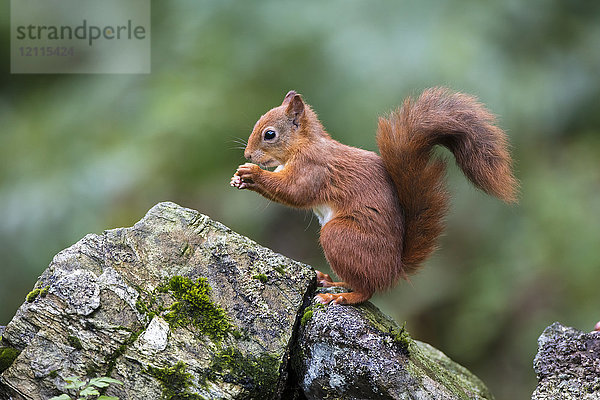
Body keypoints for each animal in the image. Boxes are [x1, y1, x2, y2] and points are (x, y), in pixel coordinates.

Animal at [230, 87, 516, 304]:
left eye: (270, 134)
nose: (247, 155)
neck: (304, 144)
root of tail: (393, 270)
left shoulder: (313, 169)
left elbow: (294, 192)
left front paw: (252, 173)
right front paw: (238, 178)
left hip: (339, 236)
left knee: (367, 290)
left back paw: (341, 297)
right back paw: (331, 281)